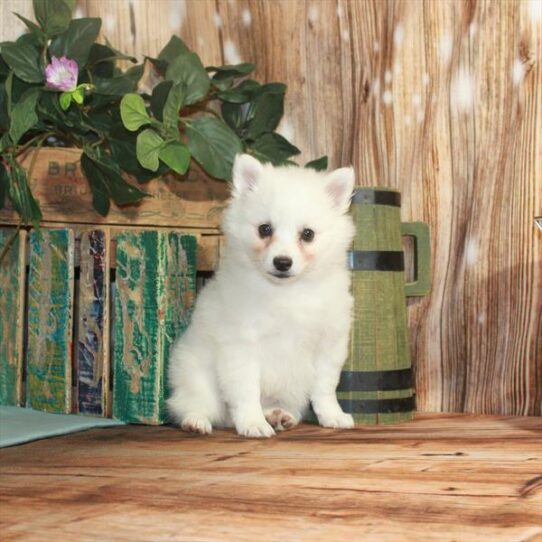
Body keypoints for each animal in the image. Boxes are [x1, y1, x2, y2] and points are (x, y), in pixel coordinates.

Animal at [170, 153, 356, 438]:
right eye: (265, 229)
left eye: (308, 234)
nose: (282, 262)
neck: (288, 292)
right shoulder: (241, 345)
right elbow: (246, 391)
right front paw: (251, 423)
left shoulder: (329, 345)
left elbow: (325, 388)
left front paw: (332, 416)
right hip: (196, 374)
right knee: (196, 402)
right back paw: (197, 421)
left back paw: (278, 415)